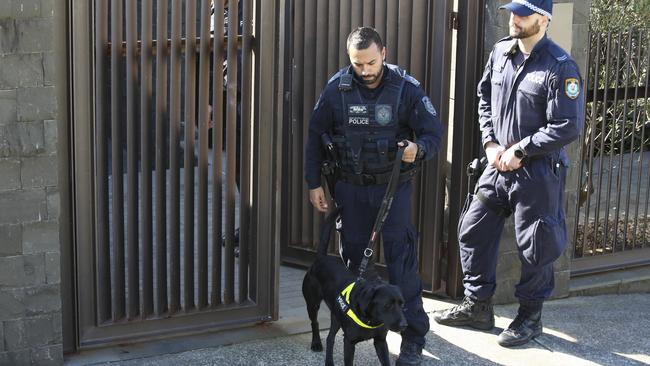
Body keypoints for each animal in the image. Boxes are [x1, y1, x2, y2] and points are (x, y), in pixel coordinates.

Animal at [300, 207, 404, 364]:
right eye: (387, 305)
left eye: (402, 304)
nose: (404, 325)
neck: (371, 320)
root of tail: (321, 258)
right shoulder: (349, 342)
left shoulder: (380, 342)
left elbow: (385, 361)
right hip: (312, 304)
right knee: (316, 324)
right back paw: (317, 344)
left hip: (336, 316)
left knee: (330, 338)